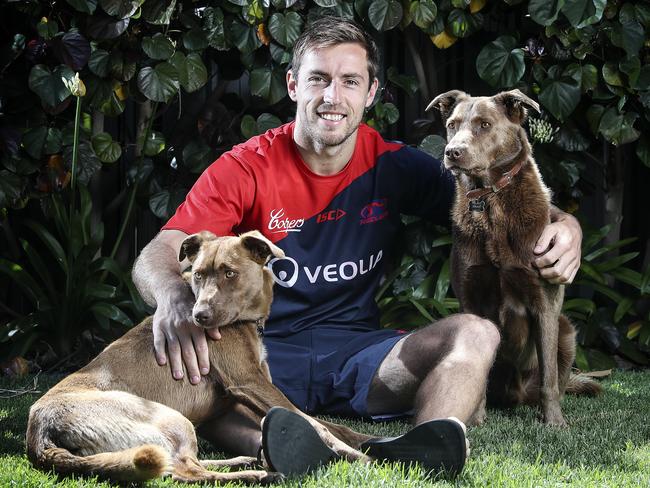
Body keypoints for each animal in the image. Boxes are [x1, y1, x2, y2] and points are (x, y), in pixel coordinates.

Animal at [26, 233, 370, 484]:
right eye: (199, 276)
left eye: (230, 273)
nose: (199, 317)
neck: (244, 323)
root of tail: (39, 435)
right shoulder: (249, 382)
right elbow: (315, 424)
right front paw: (354, 454)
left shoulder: (236, 401)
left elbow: (326, 422)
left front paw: (366, 440)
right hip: (167, 417)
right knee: (183, 471)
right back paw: (260, 474)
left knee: (184, 464)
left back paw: (246, 461)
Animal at [428, 89, 600, 426]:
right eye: (452, 125)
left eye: (484, 124)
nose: (452, 152)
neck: (491, 202)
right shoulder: (470, 297)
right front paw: (476, 419)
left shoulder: (544, 302)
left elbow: (548, 376)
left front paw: (554, 423)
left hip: (566, 331)